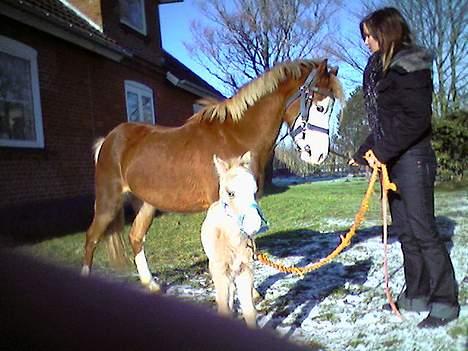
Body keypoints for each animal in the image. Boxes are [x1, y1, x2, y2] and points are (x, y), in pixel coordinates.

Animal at [82, 59, 342, 292]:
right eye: (320, 106)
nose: (318, 154)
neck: (235, 137)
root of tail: (108, 140)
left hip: (147, 204)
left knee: (135, 237)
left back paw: (151, 284)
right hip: (108, 202)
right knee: (91, 238)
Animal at [201, 153, 266, 328]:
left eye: (255, 191)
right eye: (230, 193)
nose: (254, 224)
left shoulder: (245, 268)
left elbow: (249, 311)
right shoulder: (220, 270)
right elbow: (224, 307)